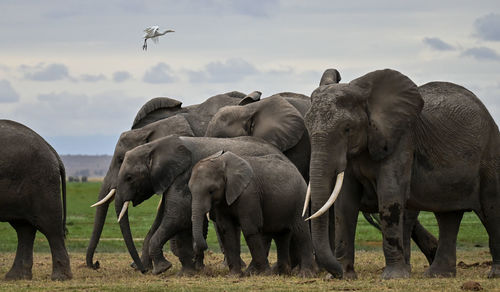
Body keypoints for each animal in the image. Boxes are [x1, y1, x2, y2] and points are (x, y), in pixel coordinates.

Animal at [0, 119, 72, 280]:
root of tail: (52, 151)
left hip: (41, 181)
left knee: (50, 227)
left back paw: (60, 277)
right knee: (24, 228)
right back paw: (16, 277)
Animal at [114, 135, 286, 274]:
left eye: (129, 177)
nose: (142, 271)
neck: (154, 146)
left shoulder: (183, 177)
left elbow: (178, 217)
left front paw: (162, 269)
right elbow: (163, 219)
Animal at [304, 67, 500, 280]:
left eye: (347, 128)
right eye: (307, 126)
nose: (336, 272)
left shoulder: (402, 138)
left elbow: (390, 193)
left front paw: (393, 277)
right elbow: (345, 203)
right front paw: (344, 277)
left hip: (490, 155)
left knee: (491, 209)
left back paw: (493, 274)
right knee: (447, 216)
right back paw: (437, 275)